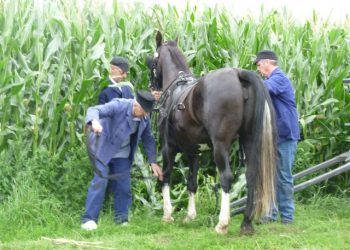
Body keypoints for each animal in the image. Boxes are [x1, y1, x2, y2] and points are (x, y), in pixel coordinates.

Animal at [146, 31, 278, 234]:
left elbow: (165, 176)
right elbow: (192, 182)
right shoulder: (194, 151)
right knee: (250, 176)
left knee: (226, 177)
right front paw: (190, 216)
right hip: (248, 140)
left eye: (153, 61)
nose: (153, 88)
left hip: (220, 146)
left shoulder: (168, 148)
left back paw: (222, 223)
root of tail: (238, 74)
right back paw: (246, 223)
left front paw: (167, 214)